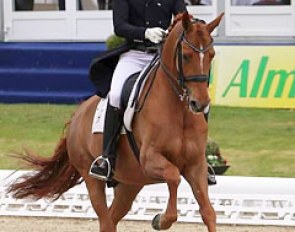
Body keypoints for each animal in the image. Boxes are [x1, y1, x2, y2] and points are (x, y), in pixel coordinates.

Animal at [6, 11, 224, 231]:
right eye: (186, 55)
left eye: (212, 55)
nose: (200, 103)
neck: (178, 110)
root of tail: (78, 114)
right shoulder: (150, 158)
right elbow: (173, 176)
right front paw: (161, 220)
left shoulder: (196, 165)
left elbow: (208, 212)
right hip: (92, 177)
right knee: (106, 219)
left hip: (131, 182)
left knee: (111, 218)